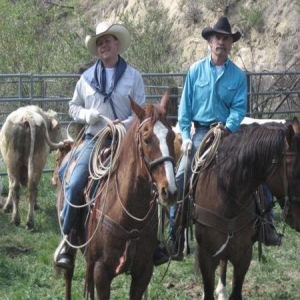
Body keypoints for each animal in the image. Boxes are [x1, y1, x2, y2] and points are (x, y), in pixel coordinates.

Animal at [55, 92, 178, 298]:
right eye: (147, 139)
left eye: (171, 136)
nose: (169, 191)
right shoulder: (101, 272)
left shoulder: (143, 272)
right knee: (68, 274)